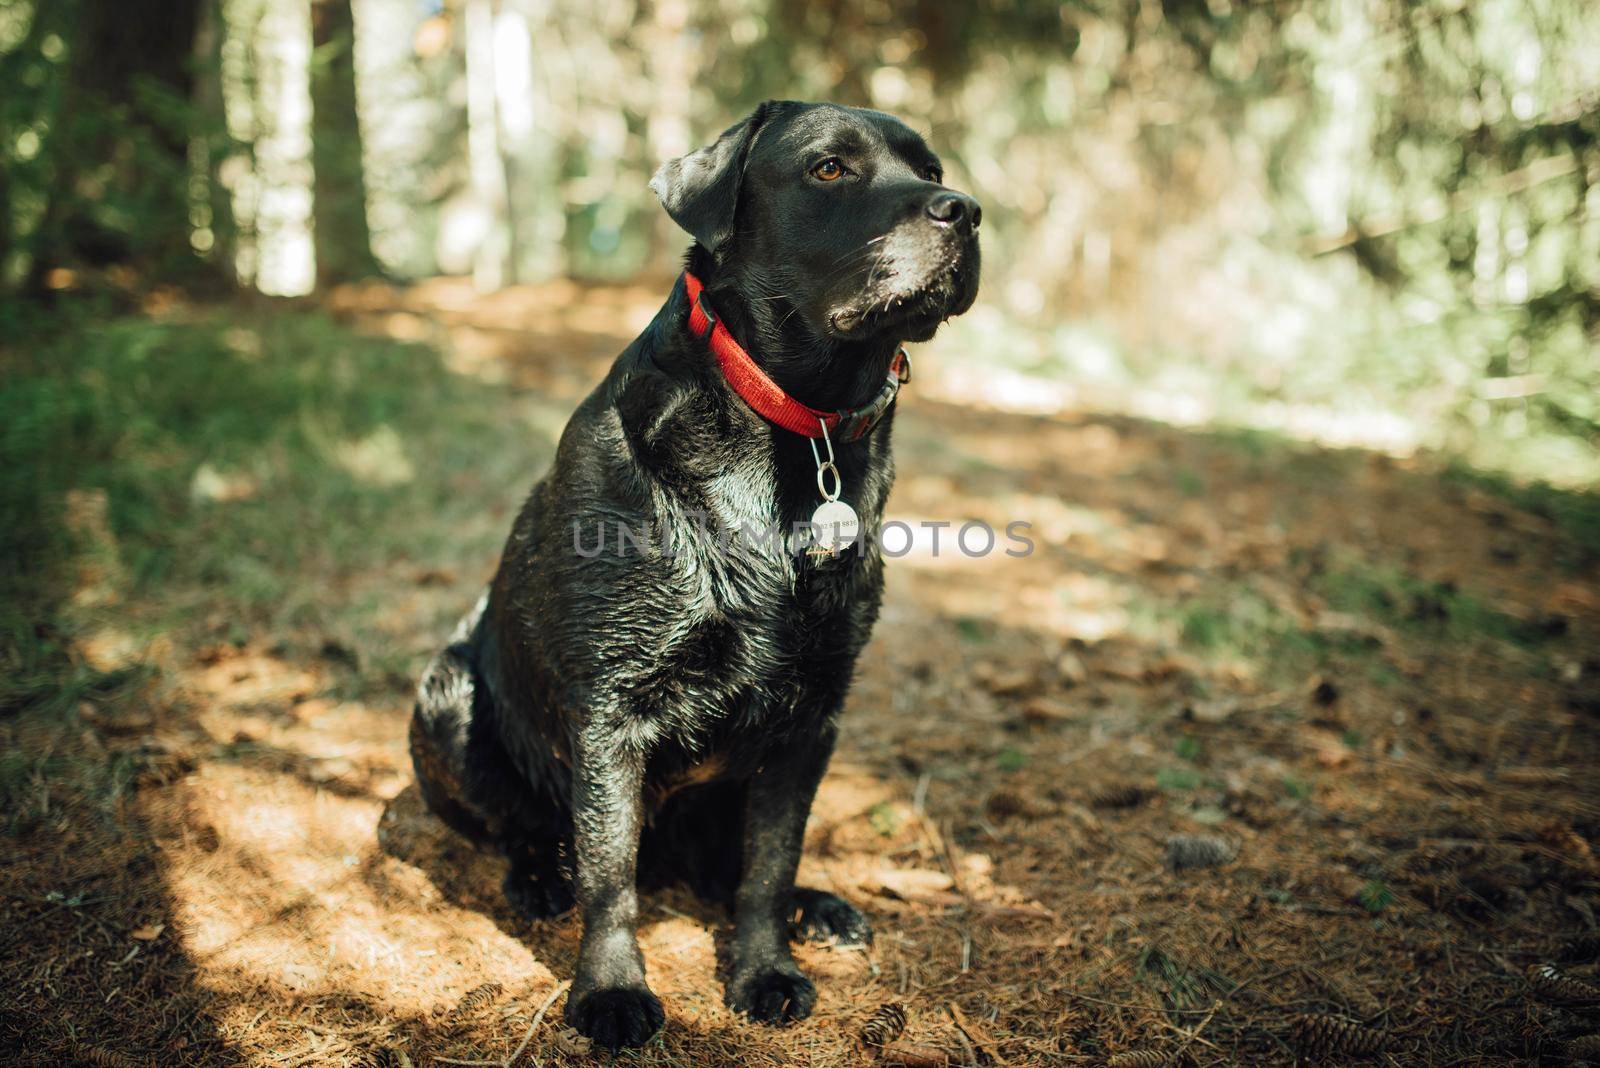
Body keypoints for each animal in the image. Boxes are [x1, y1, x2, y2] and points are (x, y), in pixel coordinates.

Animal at [406, 102, 979, 1048]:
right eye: (830, 168)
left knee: (729, 865)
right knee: (526, 830)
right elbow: (609, 875)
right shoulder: (609, 709)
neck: (796, 429)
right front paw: (609, 993)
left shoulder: (810, 719)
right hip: (448, 695)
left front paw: (765, 970)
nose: (963, 210)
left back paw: (819, 909)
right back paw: (538, 876)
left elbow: (769, 867)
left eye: (931, 167)